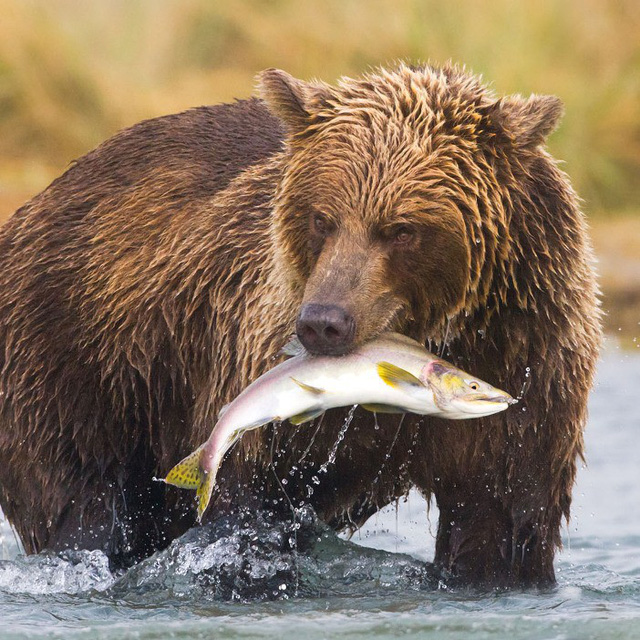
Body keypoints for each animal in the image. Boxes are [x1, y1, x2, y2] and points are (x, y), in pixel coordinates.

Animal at [0, 62, 600, 588]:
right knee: (78, 500)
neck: (440, 328)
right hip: (77, 358)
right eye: (322, 218)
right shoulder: (252, 351)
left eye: (402, 229)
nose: (322, 323)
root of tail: (36, 203)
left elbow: (502, 518)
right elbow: (245, 508)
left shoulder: (528, 357)